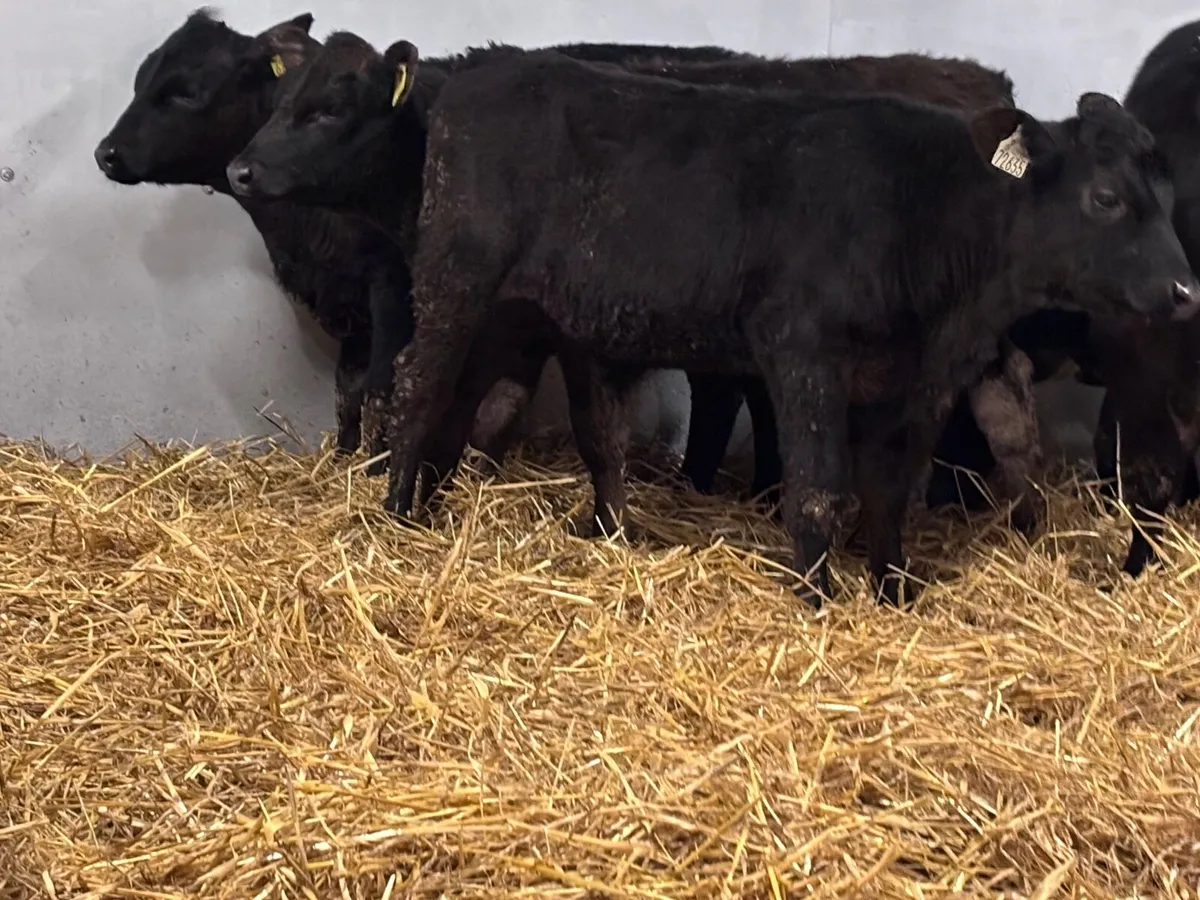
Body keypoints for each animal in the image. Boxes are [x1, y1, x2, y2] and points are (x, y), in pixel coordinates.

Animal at [92, 7, 757, 478]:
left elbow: (387, 386)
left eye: (185, 90)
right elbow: (350, 390)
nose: (106, 153)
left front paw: (379, 468)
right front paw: (346, 460)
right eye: (142, 79)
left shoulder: (393, 287)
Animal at [225, 34, 1200, 608]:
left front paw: (891, 595)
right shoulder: (801, 351)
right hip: (457, 283)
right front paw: (815, 603)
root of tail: (482, 80)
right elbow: (818, 491)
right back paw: (395, 516)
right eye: (1106, 198)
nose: (1186, 293)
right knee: (420, 389)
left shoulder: (922, 381)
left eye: (1165, 195)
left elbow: (890, 496)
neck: (920, 210)